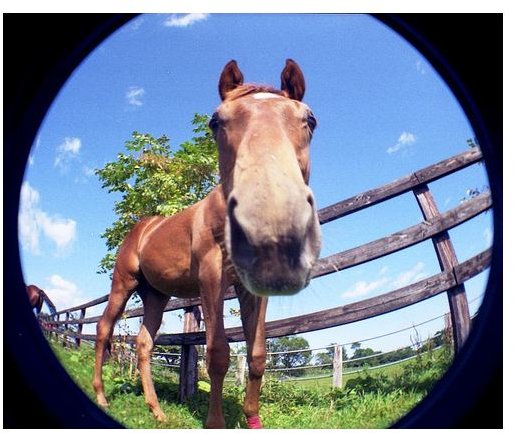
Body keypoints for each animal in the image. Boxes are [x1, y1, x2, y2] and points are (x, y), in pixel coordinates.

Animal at [92, 59, 320, 428]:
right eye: (216, 121)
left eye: (310, 119)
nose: (271, 216)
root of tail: (142, 227)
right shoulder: (211, 278)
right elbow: (217, 354)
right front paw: (215, 422)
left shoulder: (252, 288)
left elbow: (257, 354)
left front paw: (252, 418)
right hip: (123, 283)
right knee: (103, 328)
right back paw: (101, 395)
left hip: (155, 295)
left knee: (144, 343)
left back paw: (156, 410)